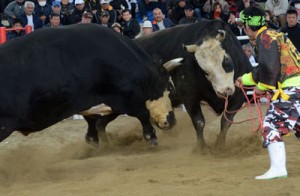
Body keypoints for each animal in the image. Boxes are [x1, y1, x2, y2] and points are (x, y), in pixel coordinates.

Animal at [135, 19, 252, 149]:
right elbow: (199, 122)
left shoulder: (239, 95)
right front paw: (202, 148)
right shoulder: (189, 96)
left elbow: (226, 122)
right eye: (204, 70)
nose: (225, 91)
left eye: (226, 59)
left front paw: (220, 145)